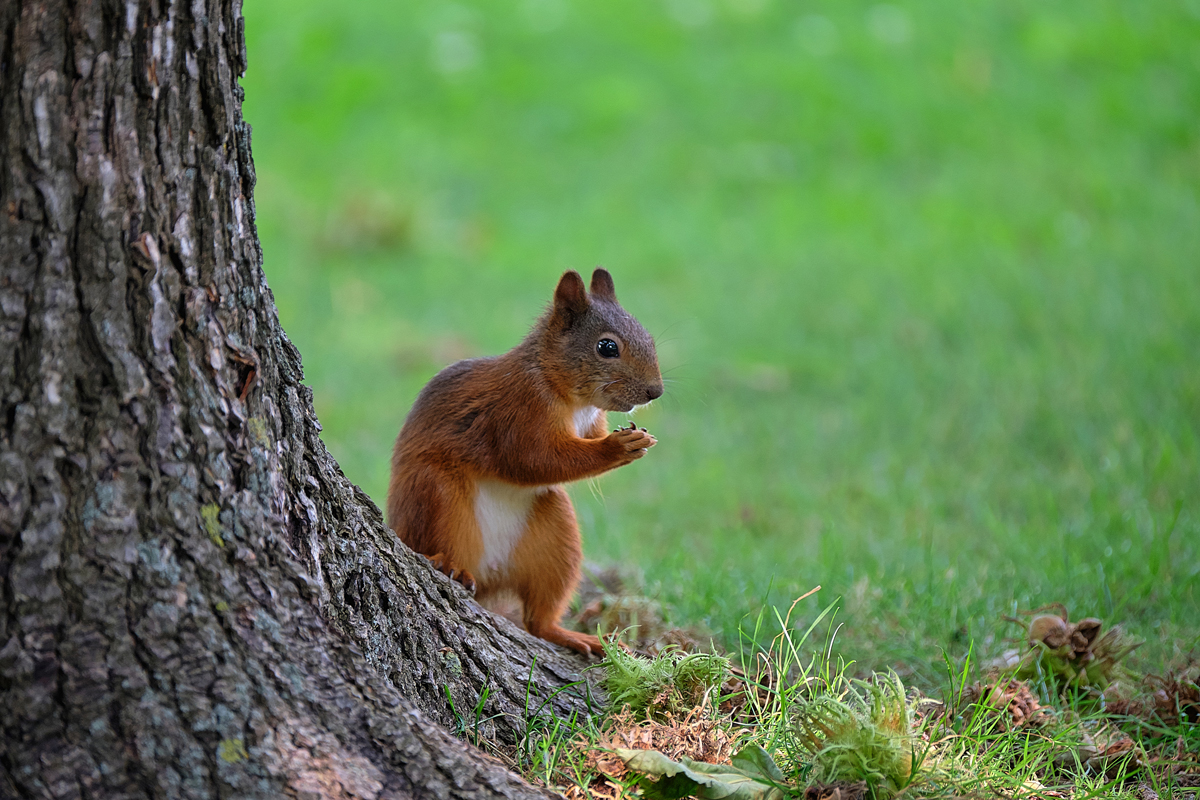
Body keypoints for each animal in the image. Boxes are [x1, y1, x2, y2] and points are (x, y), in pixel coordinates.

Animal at [386, 268, 662, 657]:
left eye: (648, 336)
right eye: (607, 347)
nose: (656, 391)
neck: (563, 390)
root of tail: (490, 574)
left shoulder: (589, 423)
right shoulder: (517, 414)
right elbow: (534, 460)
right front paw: (618, 447)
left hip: (556, 538)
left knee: (538, 620)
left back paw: (576, 637)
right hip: (437, 494)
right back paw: (448, 565)